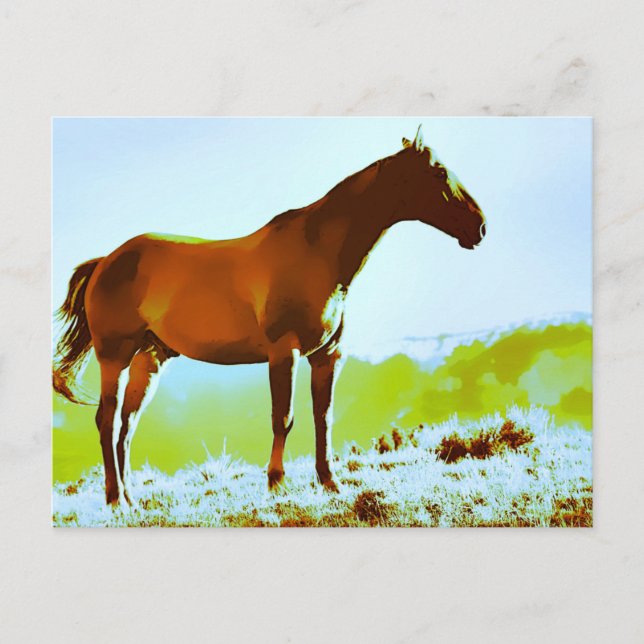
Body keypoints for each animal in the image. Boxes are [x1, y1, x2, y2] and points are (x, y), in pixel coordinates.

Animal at [53, 127, 486, 507]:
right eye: (439, 172)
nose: (480, 228)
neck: (317, 251)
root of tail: (106, 261)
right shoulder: (285, 352)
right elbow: (285, 418)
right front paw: (276, 485)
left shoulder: (327, 356)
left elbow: (323, 418)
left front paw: (330, 483)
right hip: (115, 356)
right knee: (107, 422)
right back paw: (114, 500)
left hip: (149, 359)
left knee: (126, 428)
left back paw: (130, 499)